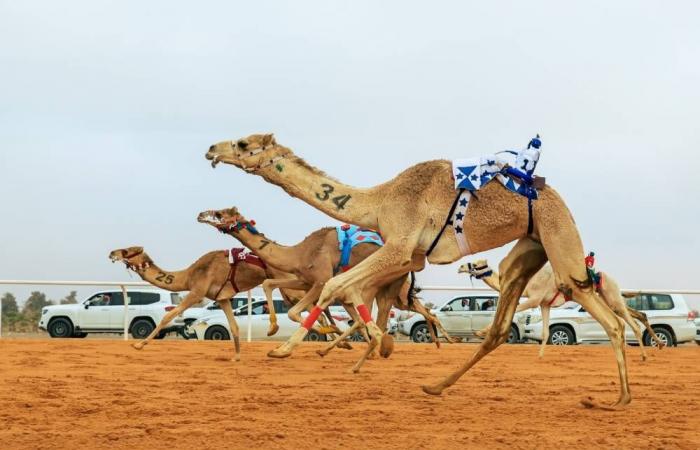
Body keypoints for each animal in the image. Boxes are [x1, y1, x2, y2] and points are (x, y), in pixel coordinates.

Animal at [108, 246, 304, 358]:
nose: (111, 253)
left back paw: (276, 331)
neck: (188, 276)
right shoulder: (222, 298)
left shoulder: (197, 291)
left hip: (291, 284)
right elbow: (234, 326)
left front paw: (138, 344)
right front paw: (236, 357)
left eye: (126, 251)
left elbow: (167, 316)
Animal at [198, 207, 460, 370]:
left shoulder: (322, 281)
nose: (201, 214)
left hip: (376, 283)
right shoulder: (305, 280)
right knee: (378, 319)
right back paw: (375, 349)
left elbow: (295, 312)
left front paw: (297, 343)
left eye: (220, 213)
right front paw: (273, 328)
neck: (299, 252)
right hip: (386, 288)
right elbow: (269, 284)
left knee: (374, 317)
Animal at [456, 260, 664, 358]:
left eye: (476, 264)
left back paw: (645, 354)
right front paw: (540, 357)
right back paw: (655, 345)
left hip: (611, 295)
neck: (529, 282)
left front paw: (480, 332)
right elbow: (546, 332)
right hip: (604, 297)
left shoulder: (534, 299)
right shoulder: (544, 304)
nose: (460, 267)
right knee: (633, 316)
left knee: (629, 321)